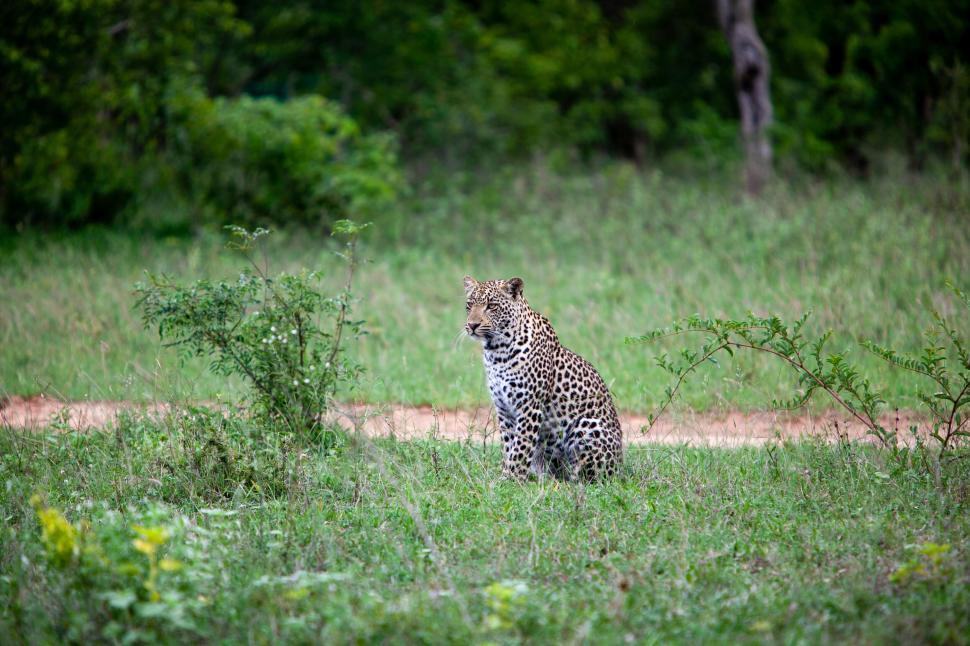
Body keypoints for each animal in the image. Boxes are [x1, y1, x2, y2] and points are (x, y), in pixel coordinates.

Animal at [463, 275, 623, 481]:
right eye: (469, 305)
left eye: (491, 306)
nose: (472, 325)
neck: (497, 351)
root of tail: (621, 466)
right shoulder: (504, 409)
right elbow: (509, 446)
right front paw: (506, 476)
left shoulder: (529, 407)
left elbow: (520, 448)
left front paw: (511, 479)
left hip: (586, 425)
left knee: (589, 477)